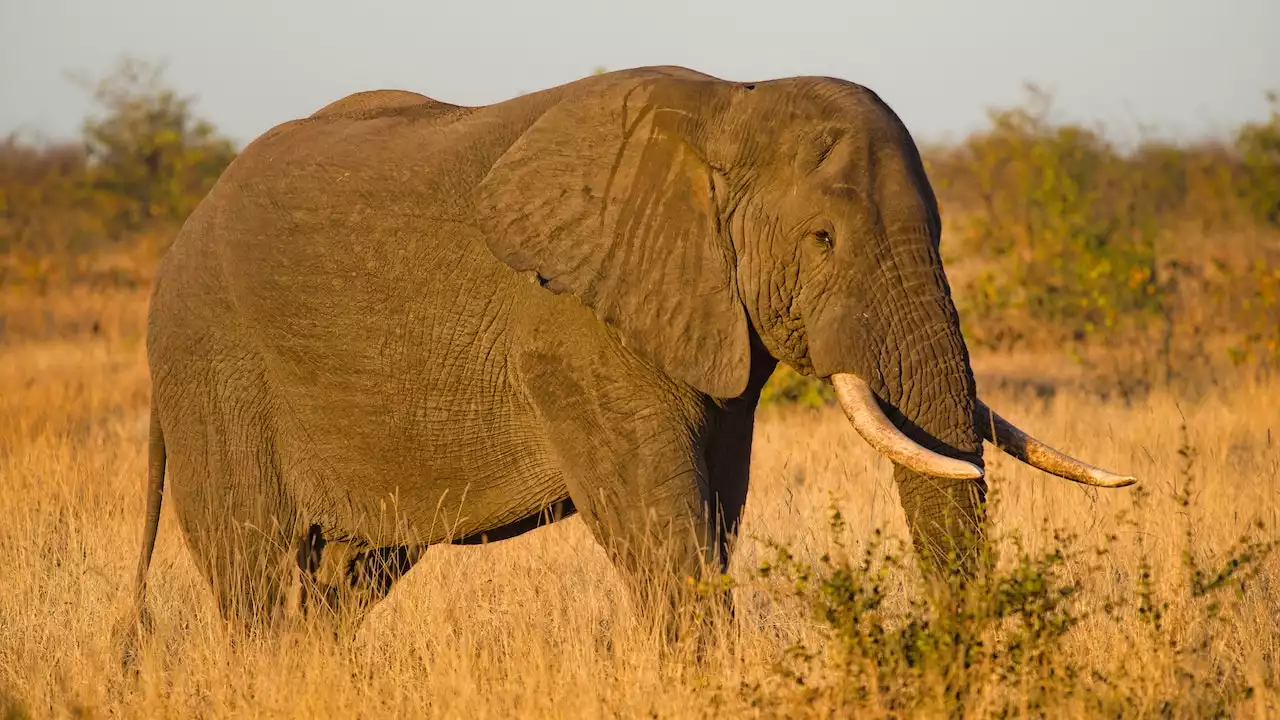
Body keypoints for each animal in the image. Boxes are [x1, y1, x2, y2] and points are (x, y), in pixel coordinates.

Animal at [124, 67, 1136, 635]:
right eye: (823, 241)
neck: (730, 109)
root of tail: (183, 231)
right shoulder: (573, 325)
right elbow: (660, 521)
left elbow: (715, 506)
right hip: (210, 364)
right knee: (257, 575)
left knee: (345, 584)